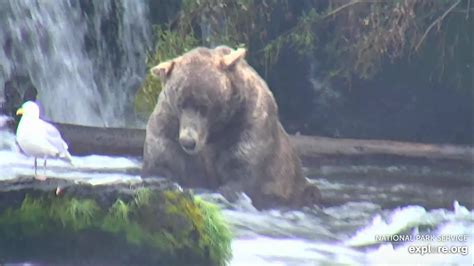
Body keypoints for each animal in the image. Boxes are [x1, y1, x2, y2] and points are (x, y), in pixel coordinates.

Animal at [141, 45, 318, 209]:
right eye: (180, 103)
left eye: (204, 105)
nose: (188, 142)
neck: (215, 131)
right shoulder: (167, 124)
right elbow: (162, 160)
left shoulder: (248, 127)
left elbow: (243, 171)